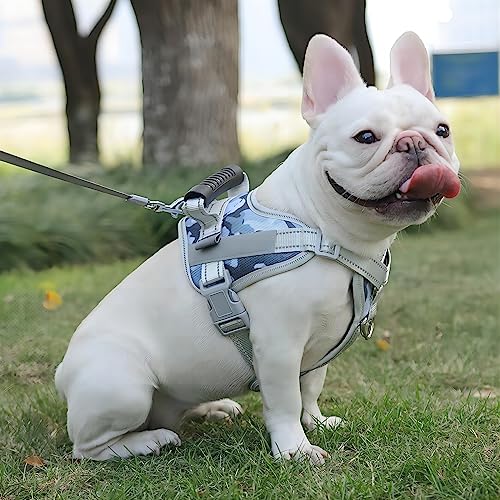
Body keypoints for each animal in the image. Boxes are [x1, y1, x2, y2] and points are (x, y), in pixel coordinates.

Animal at [55, 32, 460, 464]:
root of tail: (63, 373)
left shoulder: (317, 349)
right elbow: (285, 401)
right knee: (88, 447)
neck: (325, 233)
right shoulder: (279, 345)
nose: (415, 142)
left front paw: (317, 422)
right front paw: (295, 449)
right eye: (366, 137)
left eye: (443, 130)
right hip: (122, 386)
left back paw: (211, 408)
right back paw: (148, 441)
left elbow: (310, 388)